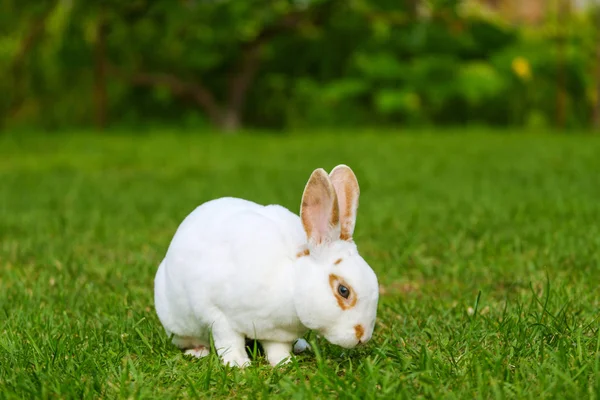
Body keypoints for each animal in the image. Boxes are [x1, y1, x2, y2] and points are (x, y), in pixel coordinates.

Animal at [155, 164, 380, 368]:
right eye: (343, 290)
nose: (363, 337)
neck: (293, 282)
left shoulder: (275, 334)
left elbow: (276, 349)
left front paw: (284, 362)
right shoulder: (217, 313)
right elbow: (229, 341)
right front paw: (238, 364)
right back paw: (198, 351)